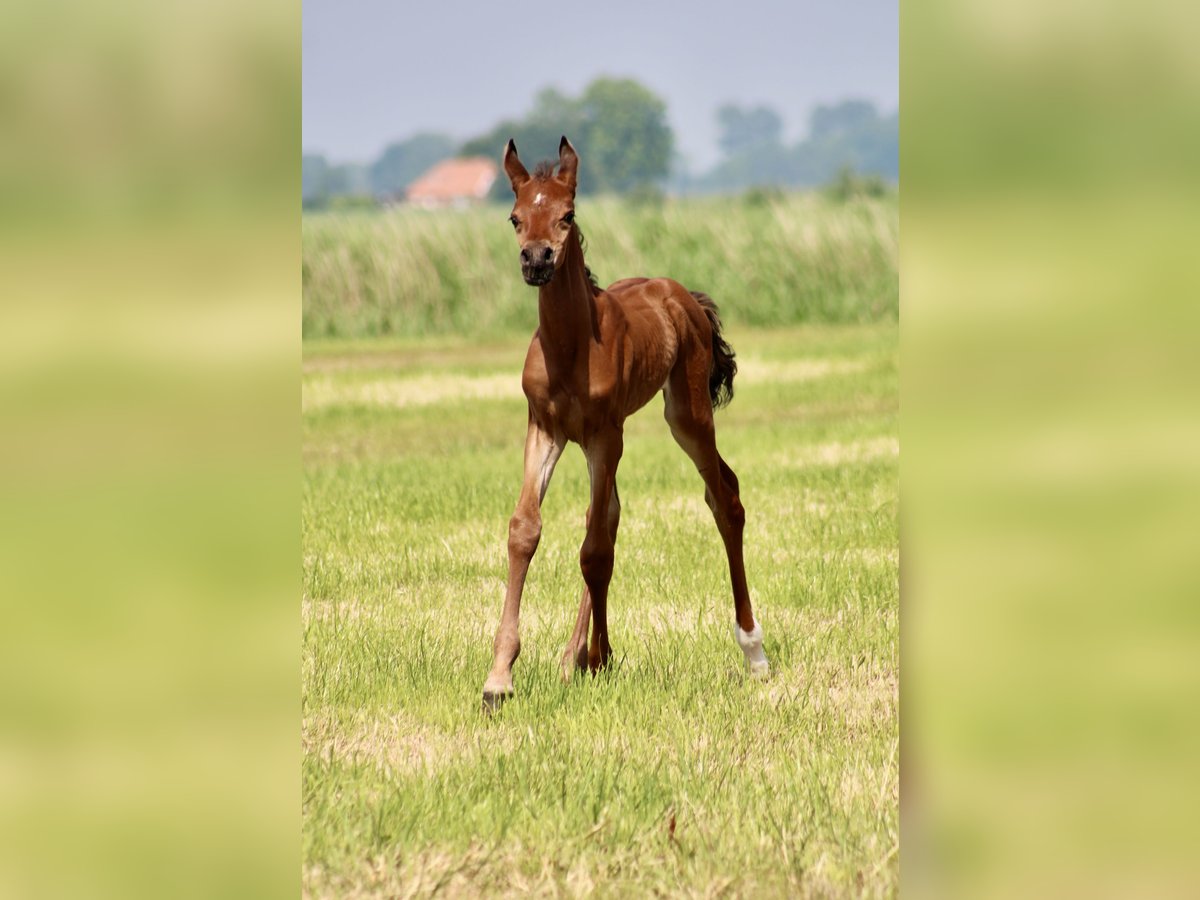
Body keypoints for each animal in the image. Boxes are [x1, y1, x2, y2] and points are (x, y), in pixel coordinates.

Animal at [480, 135, 768, 710]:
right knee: (612, 515)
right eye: (516, 217)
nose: (537, 260)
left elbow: (594, 549)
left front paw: (598, 657)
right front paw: (500, 676)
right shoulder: (544, 429)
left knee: (723, 497)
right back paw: (573, 657)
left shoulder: (603, 435)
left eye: (567, 215)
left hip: (687, 415)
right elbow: (528, 530)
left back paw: (753, 650)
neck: (570, 346)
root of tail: (682, 296)